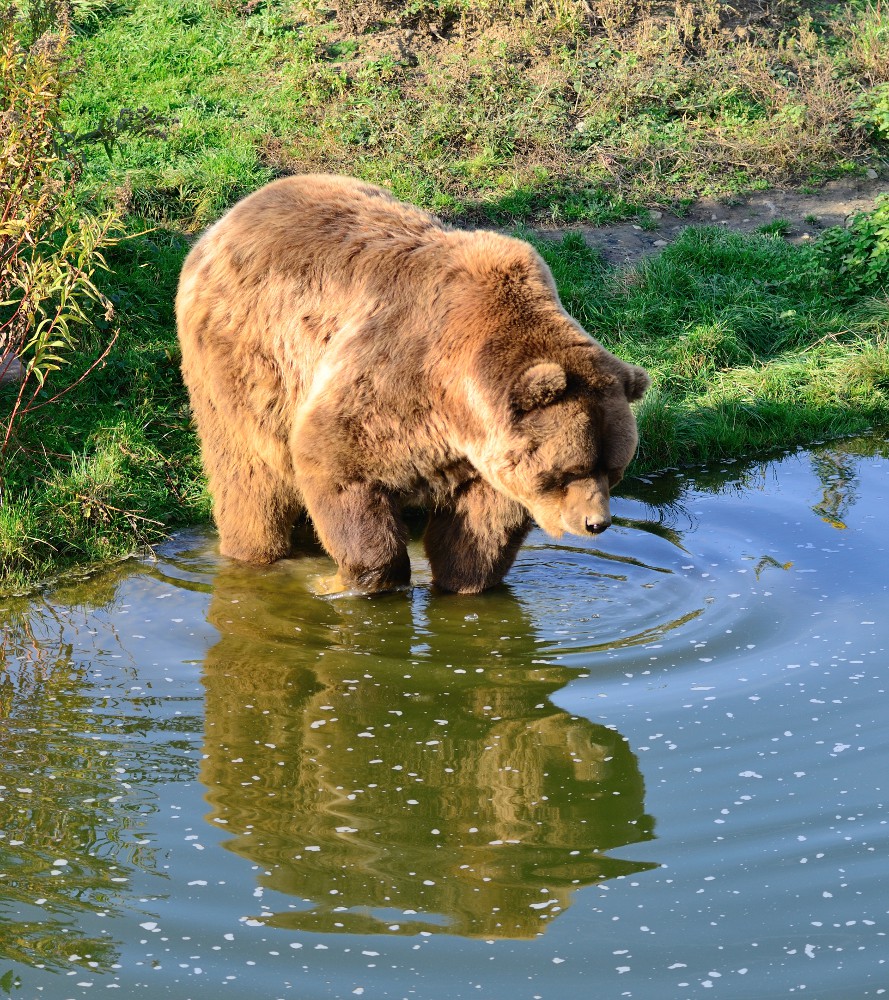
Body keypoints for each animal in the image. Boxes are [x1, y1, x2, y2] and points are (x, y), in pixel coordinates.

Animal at [173, 175, 648, 592]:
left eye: (615, 468)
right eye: (572, 469)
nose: (597, 523)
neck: (459, 405)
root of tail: (231, 216)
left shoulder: (481, 456)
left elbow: (479, 529)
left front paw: (465, 580)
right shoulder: (396, 378)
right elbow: (336, 460)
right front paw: (359, 579)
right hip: (248, 362)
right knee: (249, 474)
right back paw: (254, 554)